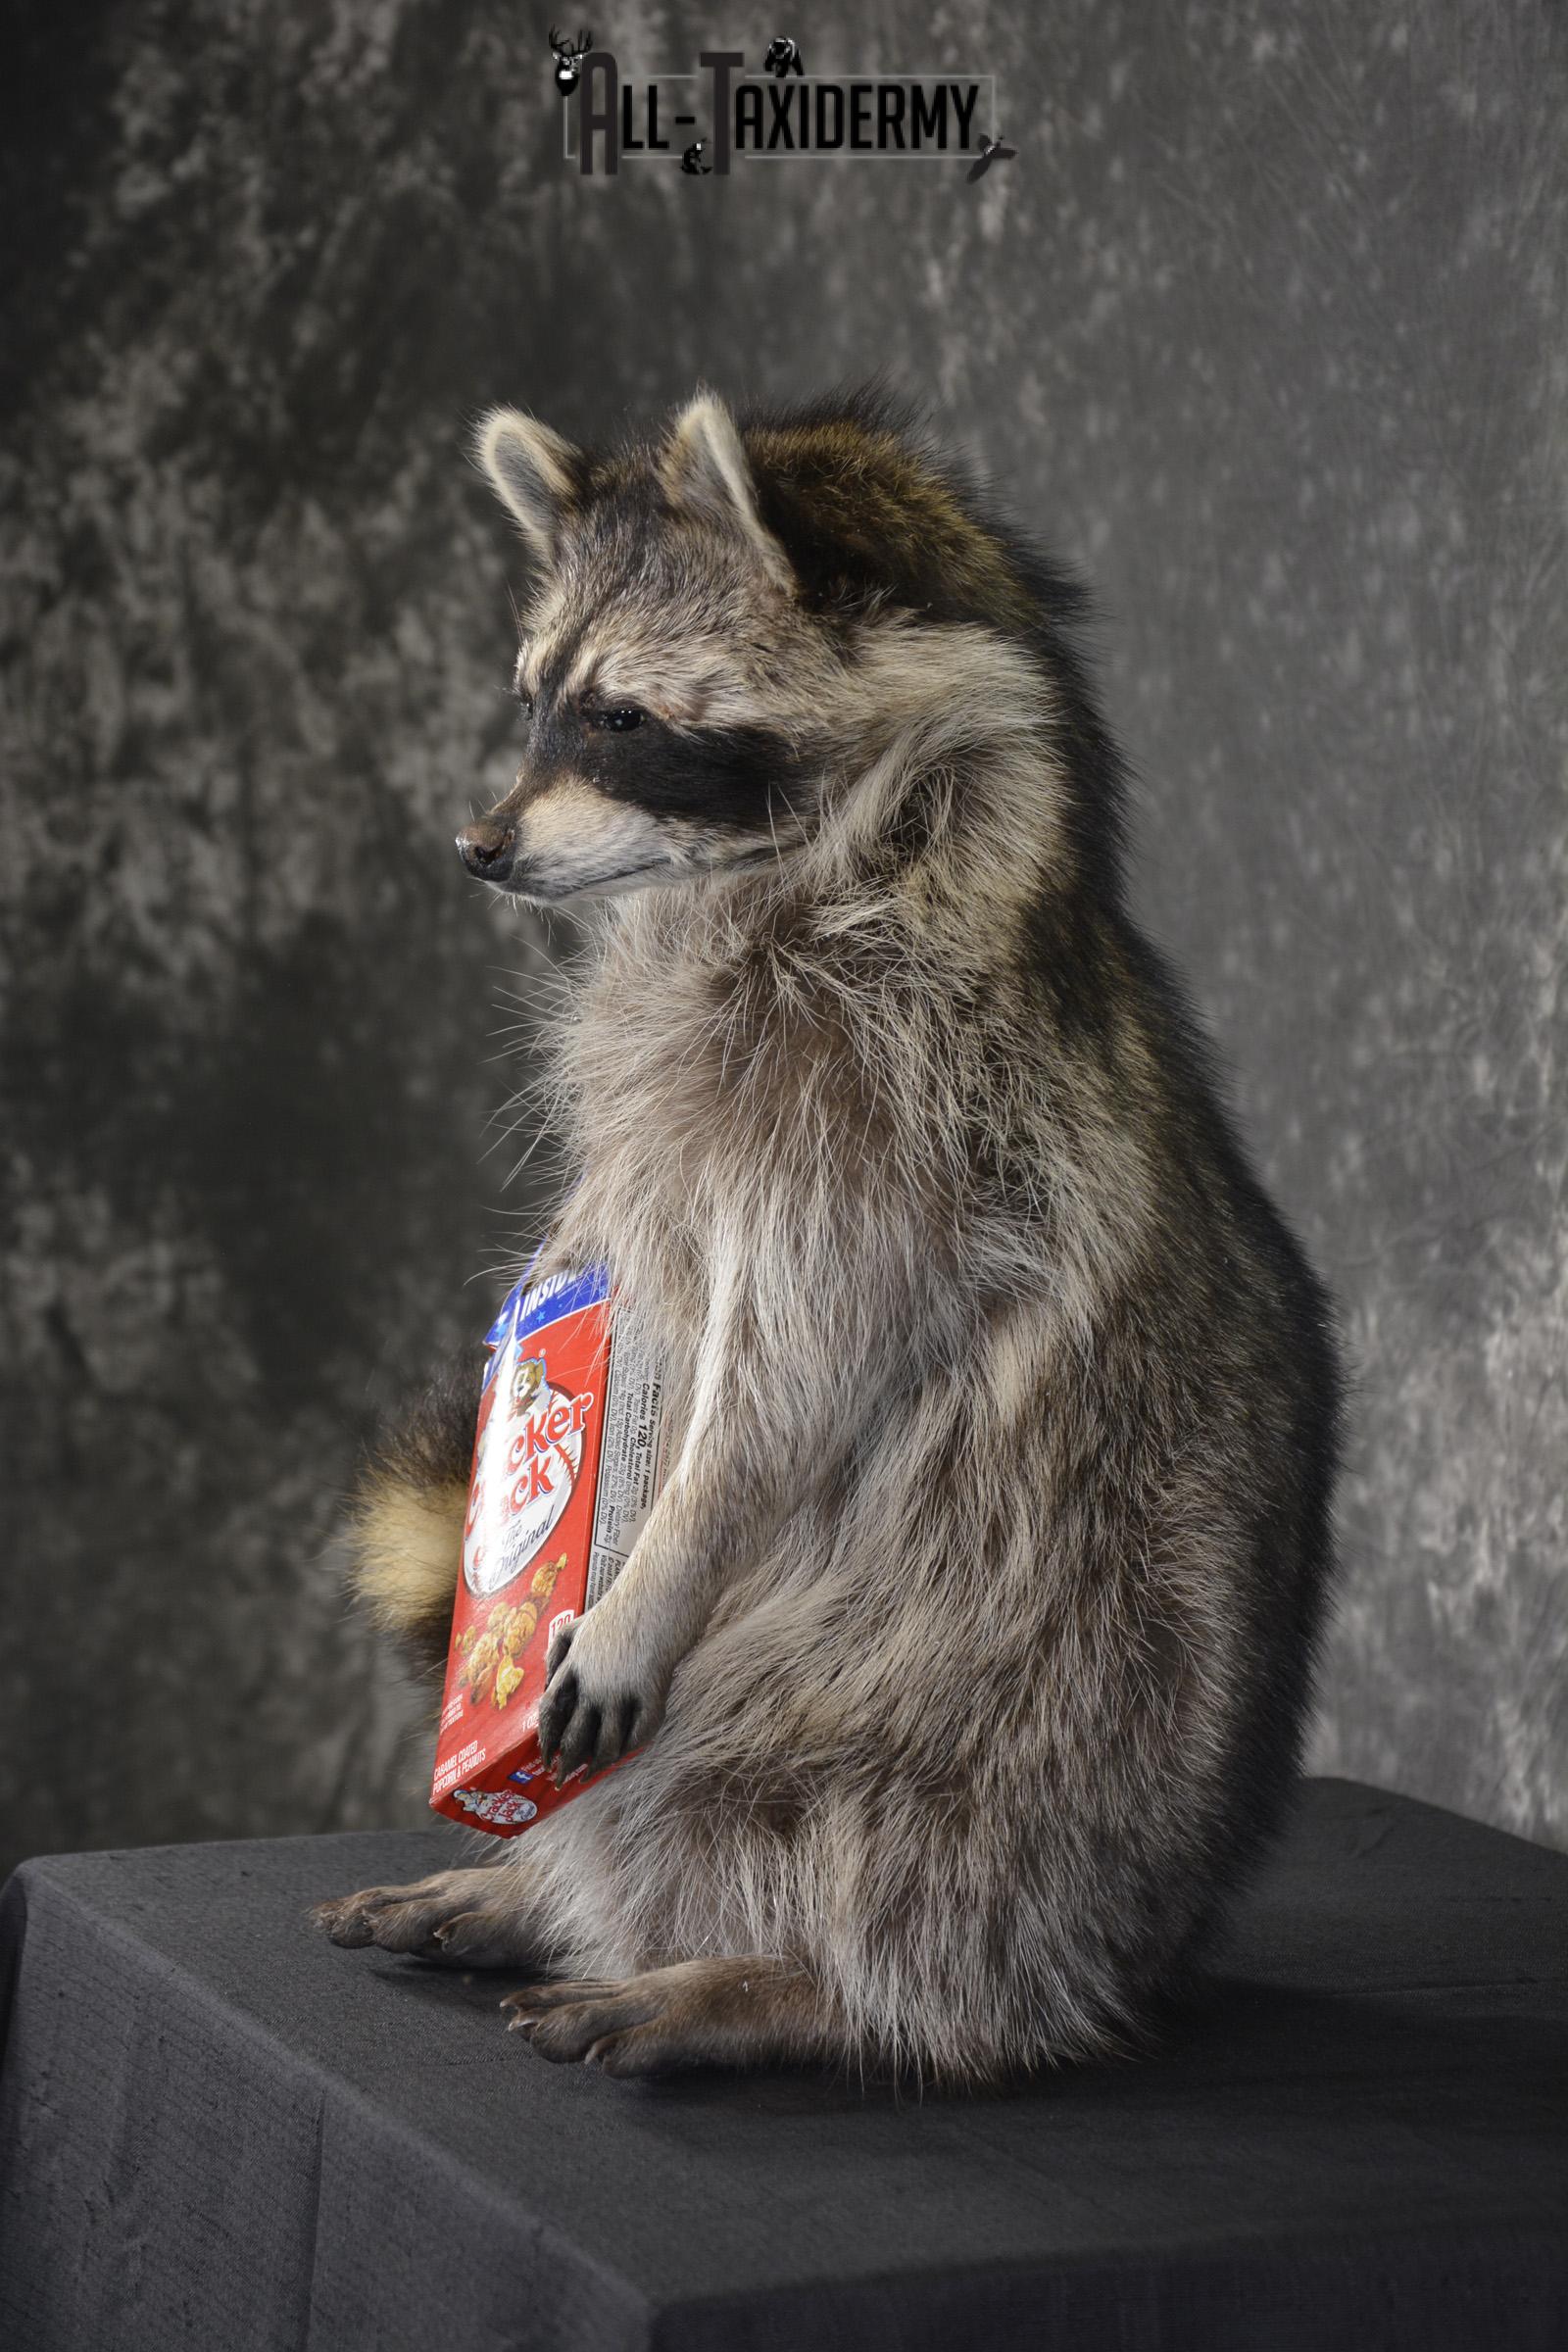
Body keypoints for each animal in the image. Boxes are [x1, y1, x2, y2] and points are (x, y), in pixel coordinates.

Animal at [316, 388, 1341, 2085]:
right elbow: (610, 1274)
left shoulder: (902, 1121)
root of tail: (1148, 1942)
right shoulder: (689, 1103)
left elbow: (797, 1370)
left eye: (620, 720)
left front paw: (658, 1559)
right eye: (535, 701)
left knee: (895, 1846)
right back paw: (544, 1893)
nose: (477, 845)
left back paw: (792, 1982)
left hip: (1028, 1712)